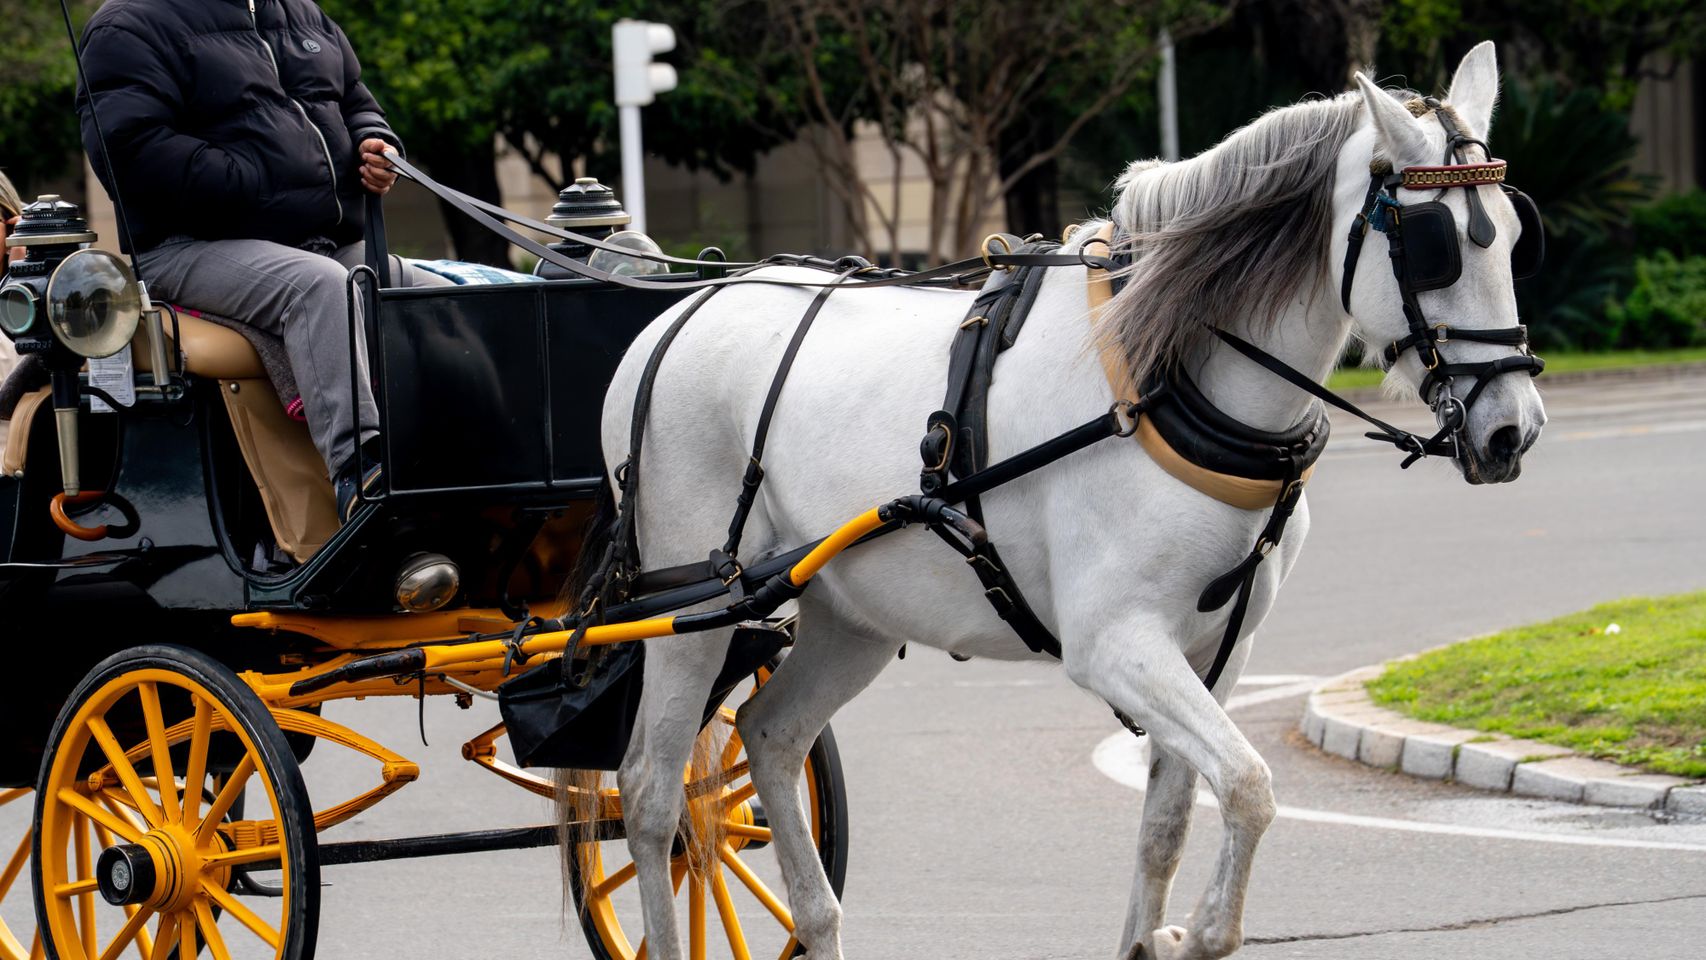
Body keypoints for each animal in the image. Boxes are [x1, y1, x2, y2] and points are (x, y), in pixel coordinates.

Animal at [587, 41, 1546, 960]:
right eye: (1434, 244)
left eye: (1510, 237)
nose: (1514, 430)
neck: (1163, 385)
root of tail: (678, 316)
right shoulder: (1115, 644)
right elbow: (1249, 785)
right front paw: (1195, 932)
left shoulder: (1216, 653)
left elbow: (1168, 826)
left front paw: (1155, 937)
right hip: (691, 608)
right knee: (652, 795)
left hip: (848, 616)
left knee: (771, 735)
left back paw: (815, 920)